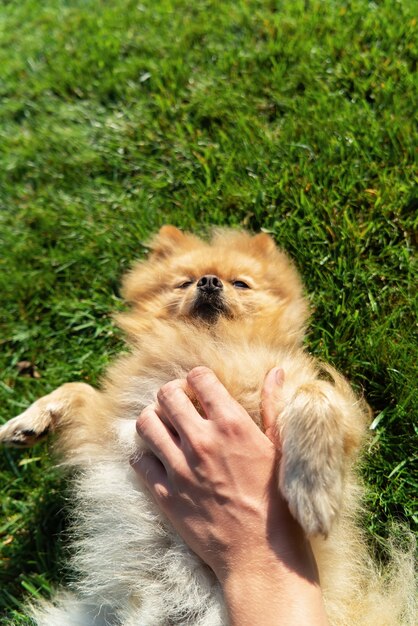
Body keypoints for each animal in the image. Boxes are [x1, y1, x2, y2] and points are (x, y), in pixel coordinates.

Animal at [0, 227, 414, 624]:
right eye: (184, 282)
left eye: (241, 283)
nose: (210, 281)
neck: (209, 344)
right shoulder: (109, 431)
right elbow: (79, 389)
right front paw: (29, 421)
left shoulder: (303, 391)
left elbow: (316, 394)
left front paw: (312, 486)